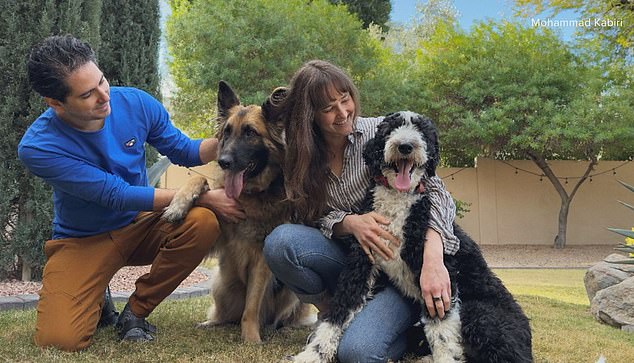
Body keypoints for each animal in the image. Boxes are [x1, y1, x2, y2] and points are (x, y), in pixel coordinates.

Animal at [162, 82, 312, 344]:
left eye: (250, 133)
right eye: (227, 132)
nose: (223, 161)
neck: (249, 195)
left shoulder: (261, 260)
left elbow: (251, 307)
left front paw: (251, 338)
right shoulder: (219, 236)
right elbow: (199, 179)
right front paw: (178, 205)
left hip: (290, 293)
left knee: (279, 317)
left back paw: (283, 327)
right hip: (221, 283)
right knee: (226, 315)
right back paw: (212, 323)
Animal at [288, 111, 532, 363]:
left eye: (422, 131)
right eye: (390, 129)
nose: (405, 146)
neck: (398, 199)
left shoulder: (438, 277)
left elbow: (442, 329)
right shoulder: (361, 261)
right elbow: (340, 308)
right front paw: (314, 353)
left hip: (479, 314)